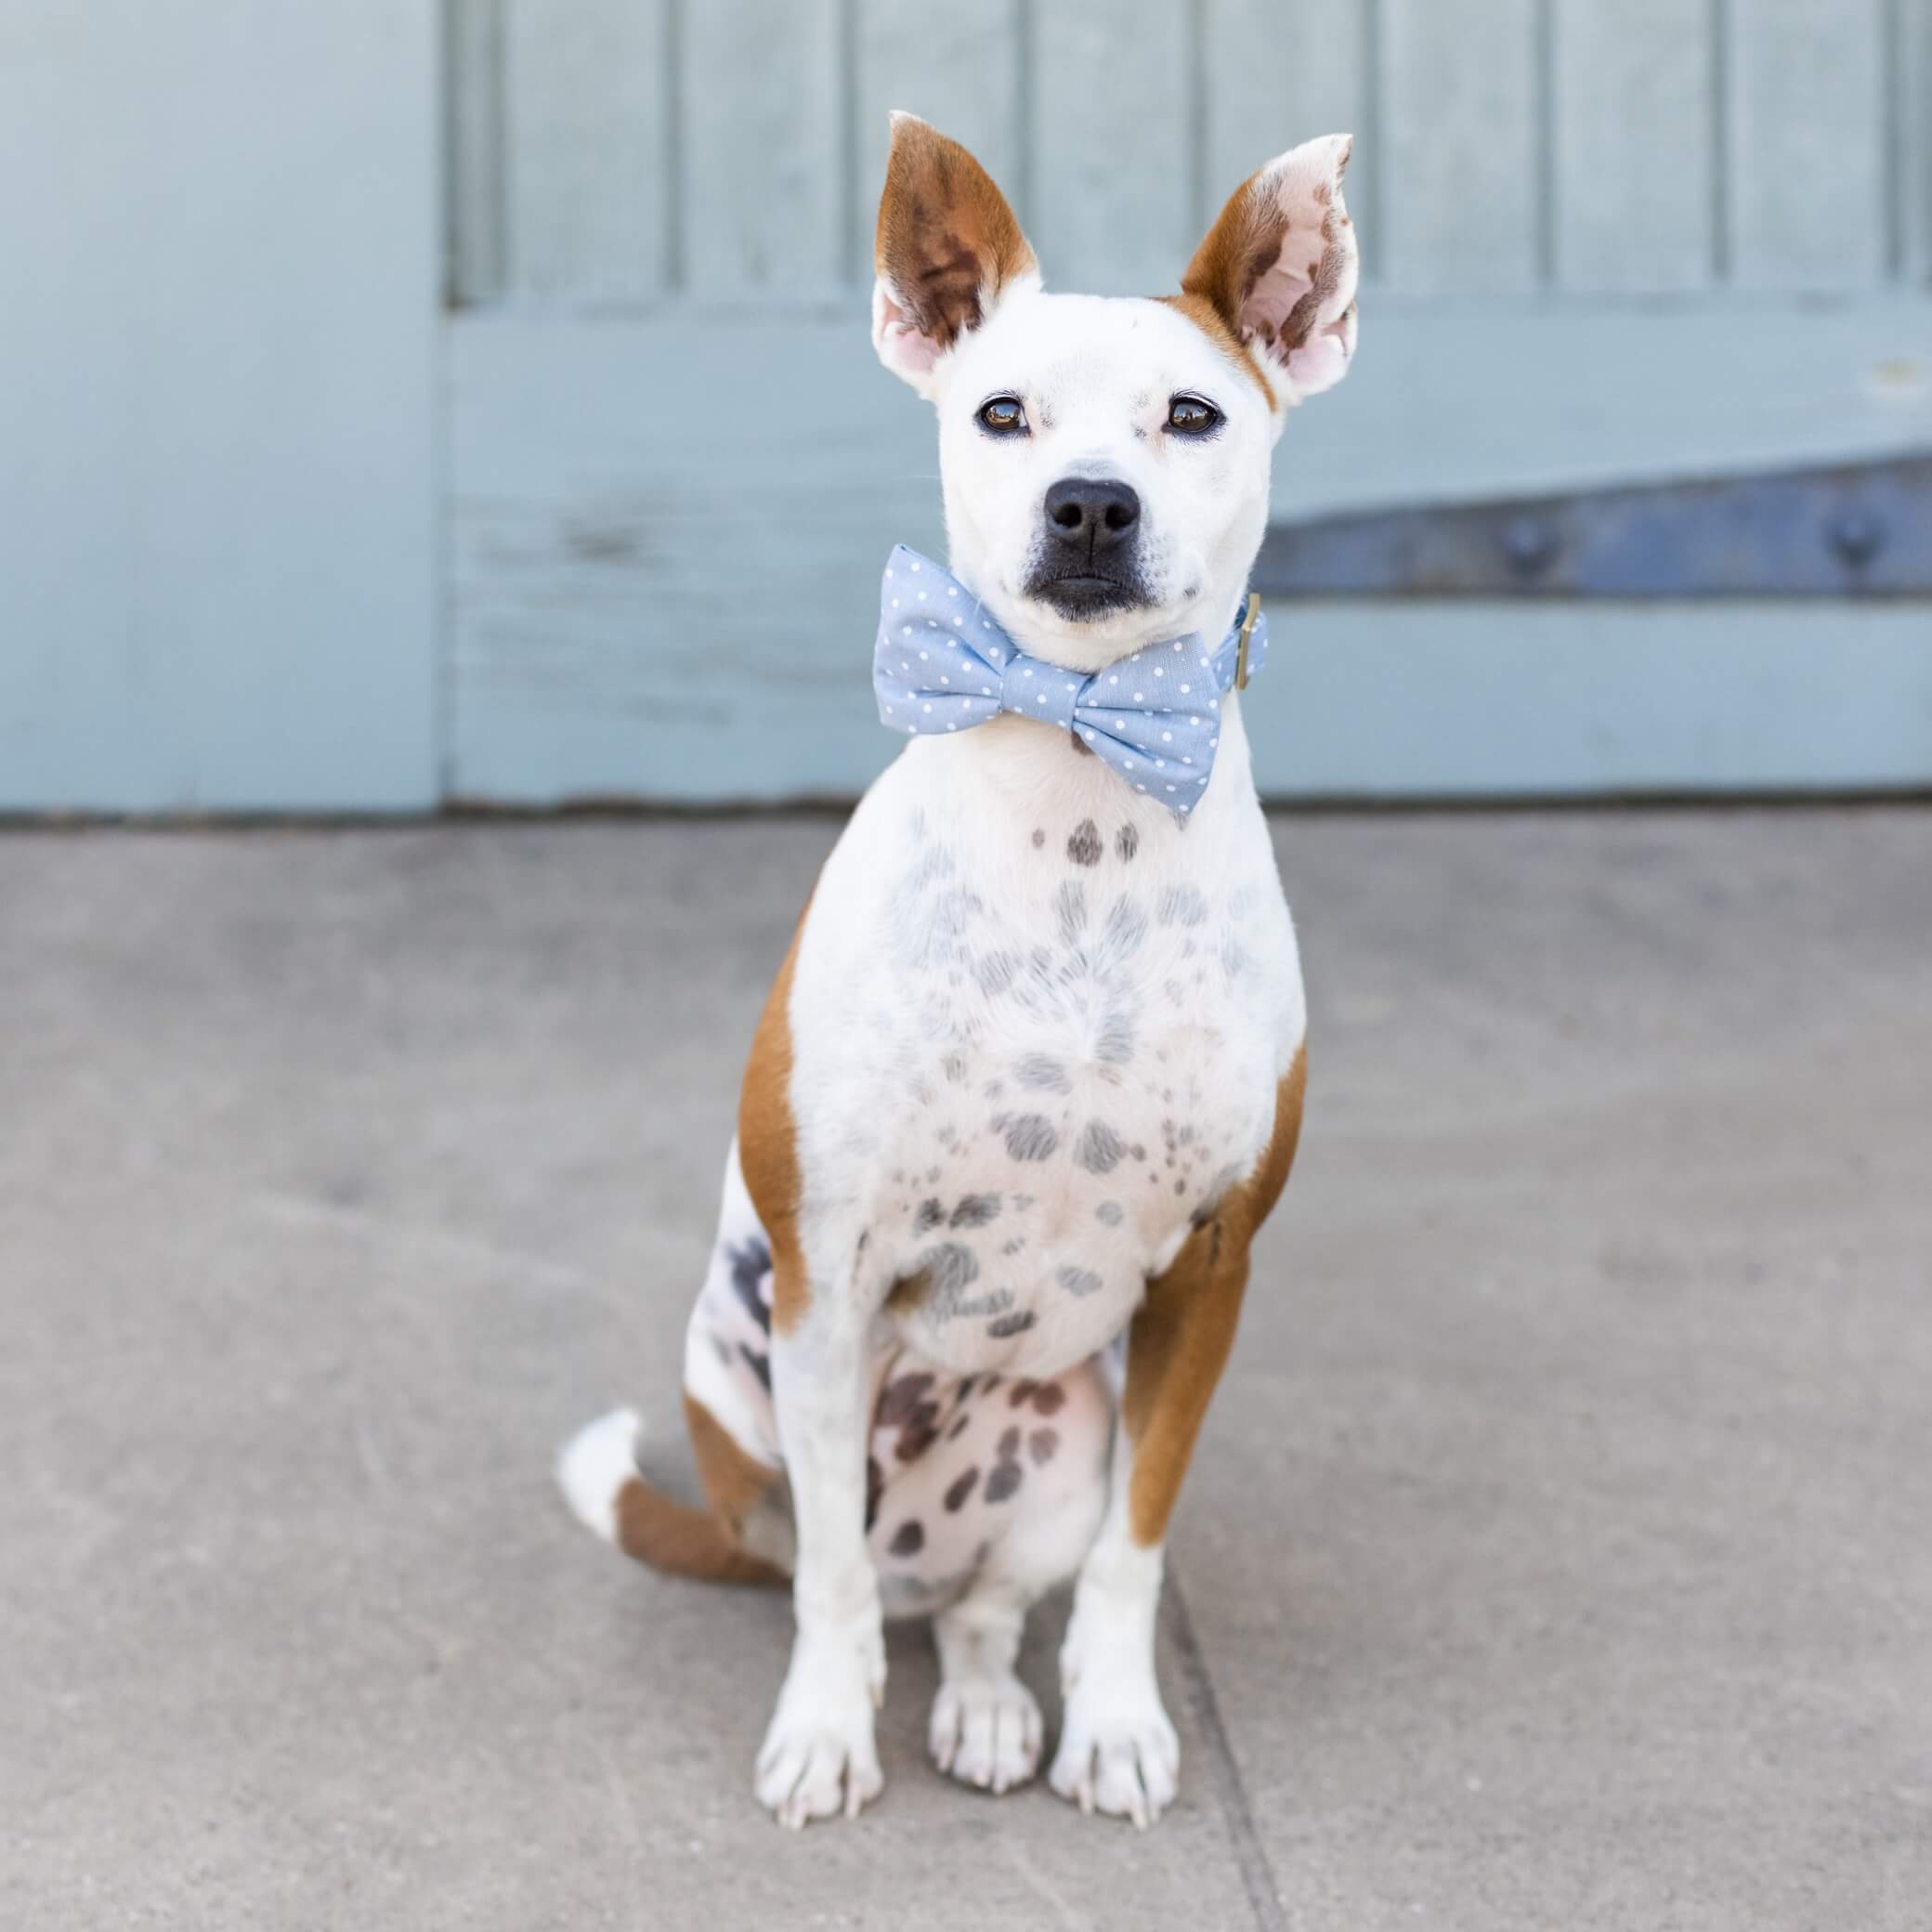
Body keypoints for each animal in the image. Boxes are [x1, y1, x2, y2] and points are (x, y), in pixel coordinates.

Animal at [560, 110, 1360, 1823]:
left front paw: (1116, 1720)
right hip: (750, 1397)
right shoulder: (830, 1285)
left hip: (1055, 1441)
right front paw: (819, 1733)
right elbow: (831, 1592)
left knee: (983, 1610)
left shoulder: (1208, 1282)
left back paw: (993, 1709)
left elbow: (1133, 1557)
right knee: (855, 1578)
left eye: (1192, 413)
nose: (1089, 504)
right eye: (1003, 411)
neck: (1079, 802)